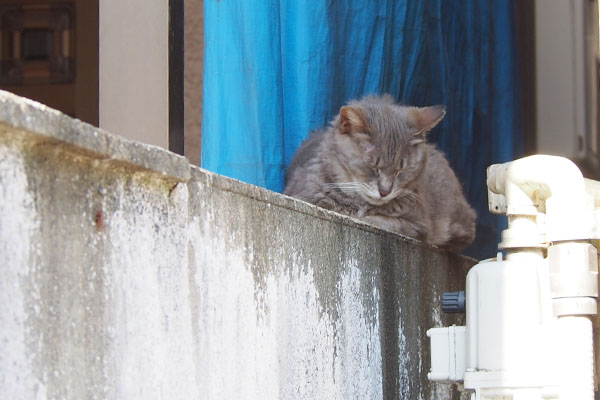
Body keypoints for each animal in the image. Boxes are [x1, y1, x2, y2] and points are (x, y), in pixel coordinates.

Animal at [284, 94, 476, 250]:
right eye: (373, 167)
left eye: (401, 169)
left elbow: (382, 221)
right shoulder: (304, 196)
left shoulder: (417, 223)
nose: (385, 191)